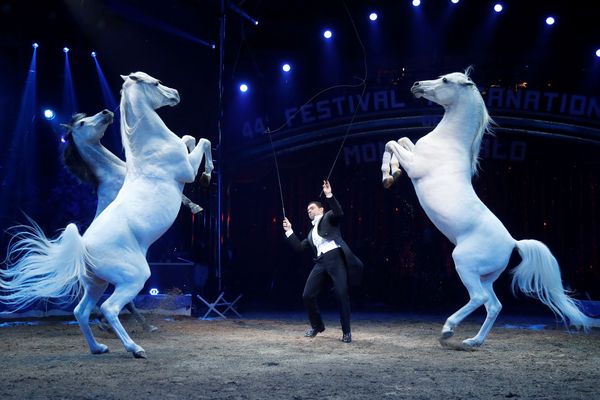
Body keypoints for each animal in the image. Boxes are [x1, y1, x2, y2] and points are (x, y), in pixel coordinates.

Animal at [0, 72, 213, 356]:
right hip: (133, 279)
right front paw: (207, 175)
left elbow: (190, 138)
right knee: (109, 308)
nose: (176, 95)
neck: (151, 149)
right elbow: (201, 141)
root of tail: (82, 247)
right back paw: (135, 348)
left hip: (96, 283)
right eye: (155, 83)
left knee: (81, 311)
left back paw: (98, 348)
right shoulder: (186, 170)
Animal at [382, 69, 596, 346]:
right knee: (494, 306)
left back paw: (448, 330)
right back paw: (473, 342)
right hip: (485, 277)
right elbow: (401, 139)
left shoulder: (416, 165)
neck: (448, 144)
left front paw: (389, 175)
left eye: (446, 81)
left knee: (479, 299)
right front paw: (392, 175)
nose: (416, 85)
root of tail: (512, 243)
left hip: (465, 265)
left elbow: (392, 142)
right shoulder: (414, 152)